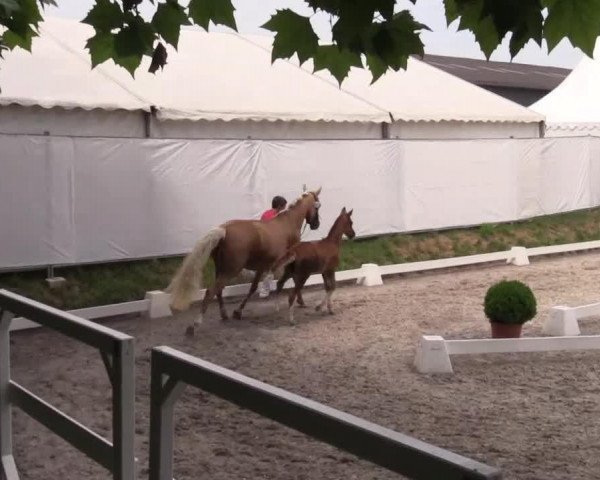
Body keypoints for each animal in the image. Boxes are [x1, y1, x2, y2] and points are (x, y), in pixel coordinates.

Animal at [166, 186, 322, 336]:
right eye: (317, 206)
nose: (316, 224)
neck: (288, 223)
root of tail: (224, 229)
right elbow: (295, 282)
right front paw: (301, 301)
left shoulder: (262, 266)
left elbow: (253, 287)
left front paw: (238, 312)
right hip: (231, 271)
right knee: (210, 292)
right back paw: (194, 325)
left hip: (221, 269)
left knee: (218, 291)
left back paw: (224, 315)